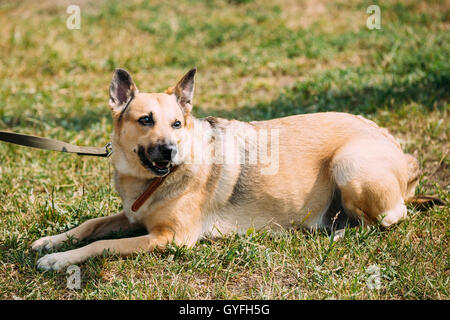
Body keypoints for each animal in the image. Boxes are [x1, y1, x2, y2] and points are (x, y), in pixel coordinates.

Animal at [30, 67, 428, 270]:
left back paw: (337, 233)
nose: (170, 152)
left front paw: (58, 259)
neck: (150, 182)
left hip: (349, 166)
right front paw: (53, 241)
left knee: (391, 217)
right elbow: (91, 225)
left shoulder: (170, 238)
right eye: (145, 120)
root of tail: (399, 150)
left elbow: (103, 246)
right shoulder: (132, 216)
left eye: (177, 124)